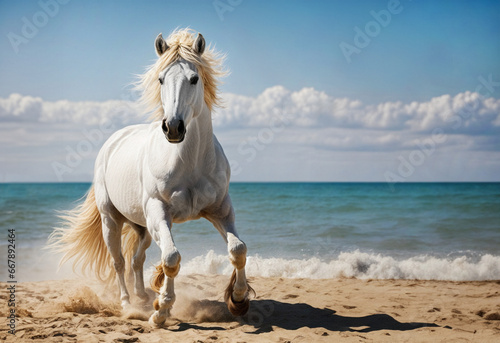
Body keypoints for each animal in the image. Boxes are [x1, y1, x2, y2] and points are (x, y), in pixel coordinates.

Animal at [50, 28, 252, 326]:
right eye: (161, 79)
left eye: (194, 78)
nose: (173, 128)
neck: (189, 162)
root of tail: (112, 142)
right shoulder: (159, 212)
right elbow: (171, 258)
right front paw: (162, 311)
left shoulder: (221, 210)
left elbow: (238, 250)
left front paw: (238, 299)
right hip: (112, 221)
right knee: (119, 262)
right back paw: (127, 303)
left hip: (142, 226)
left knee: (137, 259)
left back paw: (143, 296)